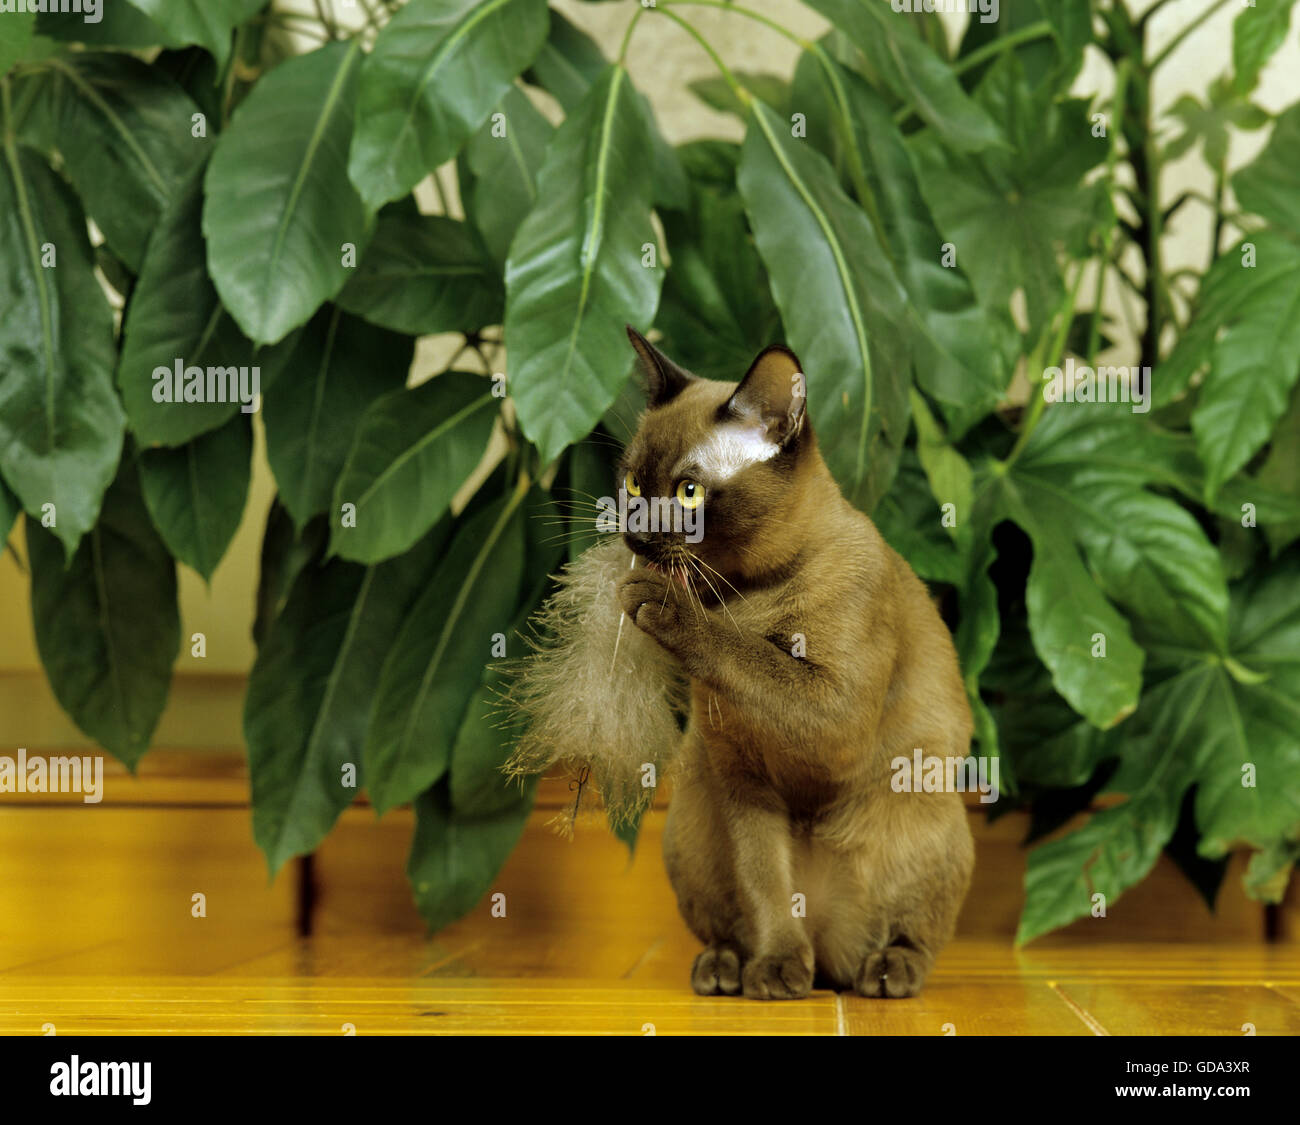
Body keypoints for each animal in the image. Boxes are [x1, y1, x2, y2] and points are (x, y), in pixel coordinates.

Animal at [618, 326, 977, 998]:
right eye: (630, 485)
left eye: (688, 492)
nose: (635, 536)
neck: (747, 596)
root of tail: (833, 962)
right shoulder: (742, 777)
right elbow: (766, 887)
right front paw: (778, 966)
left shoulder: (831, 718)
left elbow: (744, 652)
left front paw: (665, 606)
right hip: (694, 817)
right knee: (737, 922)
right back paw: (729, 968)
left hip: (922, 814)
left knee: (911, 937)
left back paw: (886, 972)